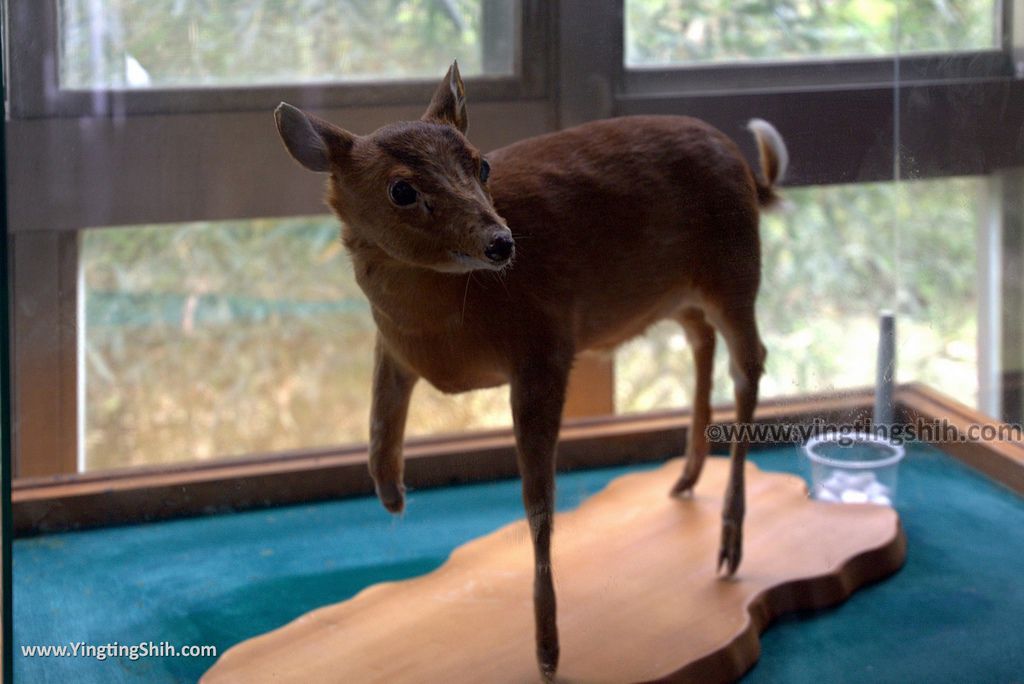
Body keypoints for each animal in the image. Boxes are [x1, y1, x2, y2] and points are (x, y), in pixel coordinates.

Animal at [272, 62, 782, 679]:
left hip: (736, 265)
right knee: (701, 340)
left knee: (750, 363)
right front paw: (392, 496)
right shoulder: (392, 346)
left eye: (481, 164)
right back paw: (684, 479)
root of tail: (748, 169)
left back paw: (729, 546)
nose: (500, 242)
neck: (448, 326)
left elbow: (538, 502)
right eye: (401, 189)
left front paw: (547, 649)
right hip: (677, 293)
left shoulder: (544, 348)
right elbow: (376, 425)